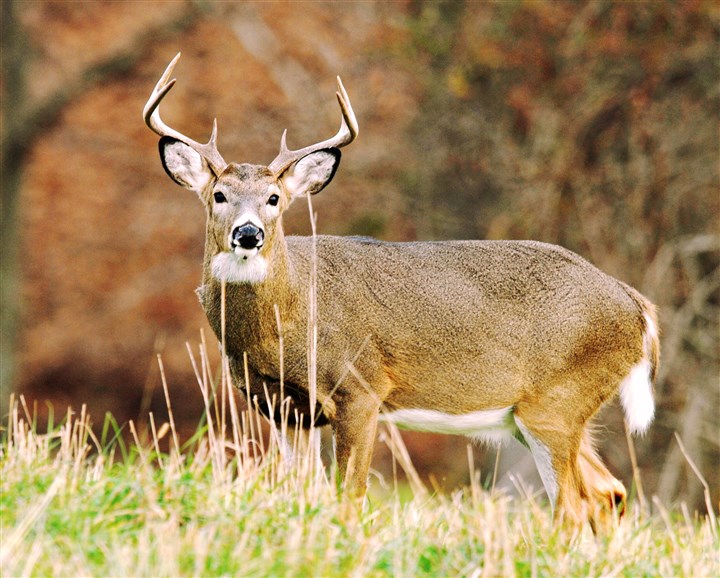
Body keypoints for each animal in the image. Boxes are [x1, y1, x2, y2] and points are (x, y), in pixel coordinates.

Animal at [143, 54, 659, 533]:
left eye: (274, 199)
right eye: (219, 195)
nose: (248, 234)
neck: (286, 320)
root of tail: (639, 308)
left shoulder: (361, 387)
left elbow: (348, 497)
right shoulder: (281, 406)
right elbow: (300, 490)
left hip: (558, 401)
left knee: (573, 505)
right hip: (532, 415)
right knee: (608, 492)